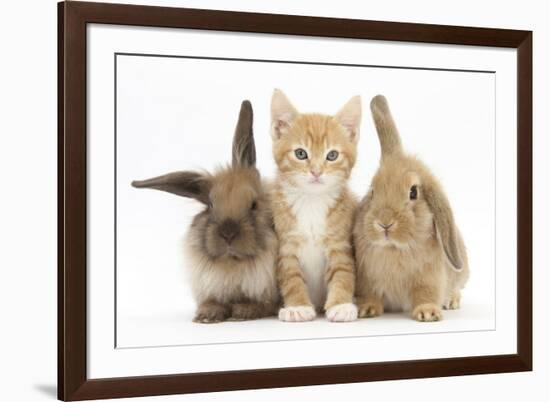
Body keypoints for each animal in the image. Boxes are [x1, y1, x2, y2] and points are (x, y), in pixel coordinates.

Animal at [133, 101, 280, 324]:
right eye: (210, 205)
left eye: (254, 204)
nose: (228, 233)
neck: (232, 264)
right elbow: (212, 301)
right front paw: (207, 315)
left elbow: (263, 304)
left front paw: (243, 311)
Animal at [270, 89, 362, 322]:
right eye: (301, 153)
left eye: (332, 155)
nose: (316, 172)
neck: (311, 201)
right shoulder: (286, 244)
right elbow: (291, 277)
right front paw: (297, 306)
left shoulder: (340, 244)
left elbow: (342, 273)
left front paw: (341, 305)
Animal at [356, 95, 472, 320]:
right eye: (372, 191)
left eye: (413, 192)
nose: (384, 223)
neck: (394, 249)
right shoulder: (367, 279)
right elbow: (371, 294)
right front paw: (366, 309)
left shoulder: (428, 278)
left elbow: (425, 294)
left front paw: (428, 313)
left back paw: (451, 301)